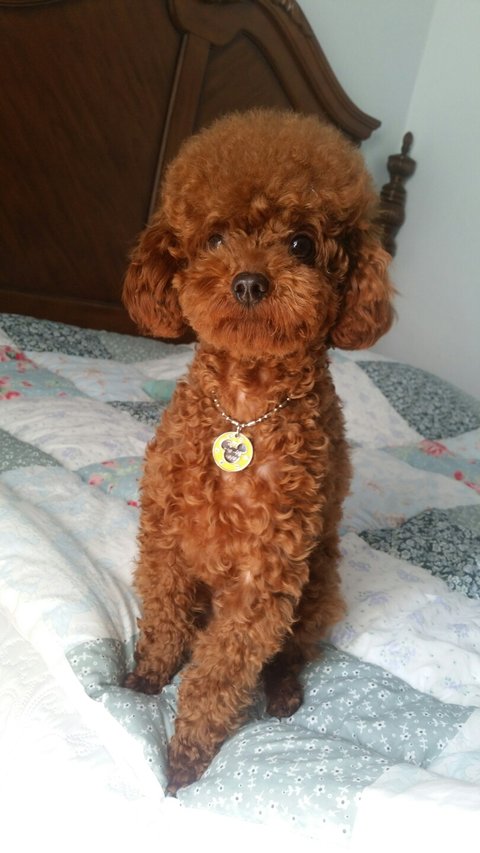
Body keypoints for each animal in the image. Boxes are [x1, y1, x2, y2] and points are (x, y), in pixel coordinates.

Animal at [122, 109, 394, 793]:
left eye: (300, 243)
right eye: (215, 238)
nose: (249, 281)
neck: (244, 410)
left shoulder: (263, 576)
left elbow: (221, 671)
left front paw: (186, 757)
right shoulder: (167, 539)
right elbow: (163, 620)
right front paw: (144, 680)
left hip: (319, 588)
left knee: (290, 653)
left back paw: (284, 694)